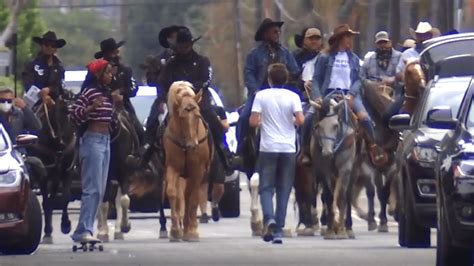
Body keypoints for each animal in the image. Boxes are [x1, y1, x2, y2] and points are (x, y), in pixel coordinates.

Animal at [27, 96, 77, 244]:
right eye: (52, 116)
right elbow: (46, 201)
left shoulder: (67, 170)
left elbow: (65, 197)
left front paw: (65, 225)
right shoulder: (45, 173)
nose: (62, 141)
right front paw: (48, 231)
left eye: (67, 113)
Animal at [163, 80, 211, 241]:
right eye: (182, 117)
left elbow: (193, 198)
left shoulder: (197, 171)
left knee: (189, 196)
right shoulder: (172, 168)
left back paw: (189, 228)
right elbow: (172, 193)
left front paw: (191, 231)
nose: (192, 145)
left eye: (197, 115)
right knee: (181, 196)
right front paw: (175, 230)